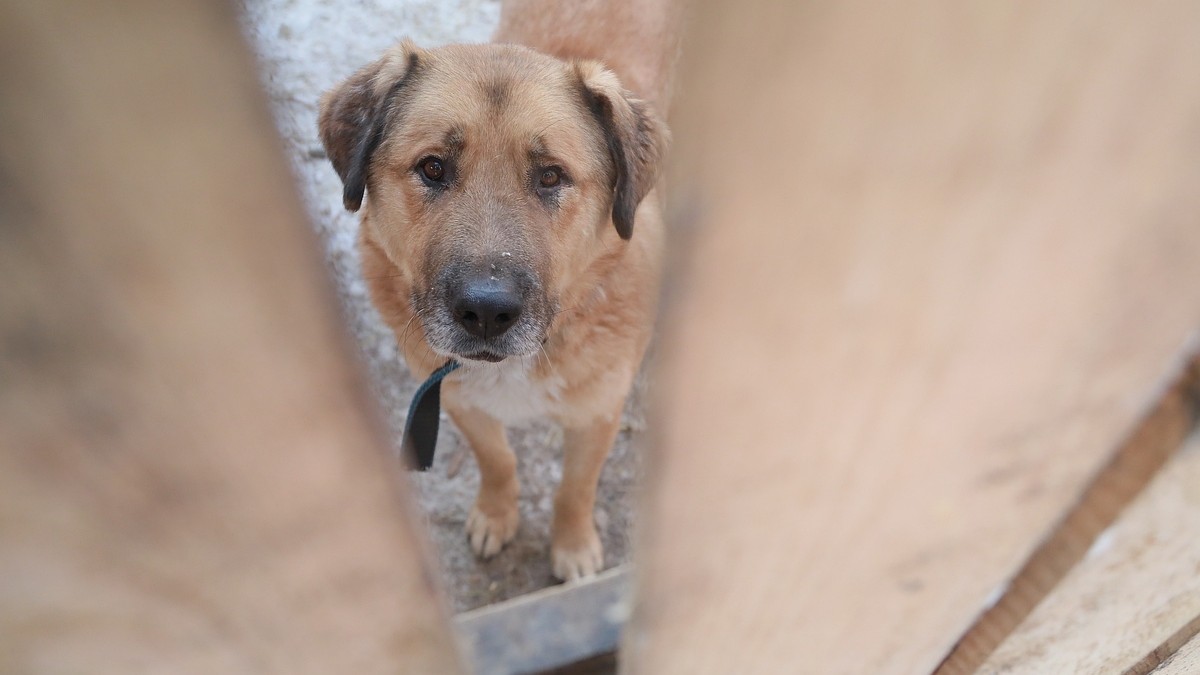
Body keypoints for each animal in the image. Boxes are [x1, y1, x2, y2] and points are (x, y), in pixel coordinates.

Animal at [319, 39, 672, 576]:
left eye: (551, 175)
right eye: (433, 167)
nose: (486, 312)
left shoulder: (597, 416)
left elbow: (576, 487)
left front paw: (573, 545)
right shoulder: (460, 401)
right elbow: (498, 461)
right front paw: (496, 514)